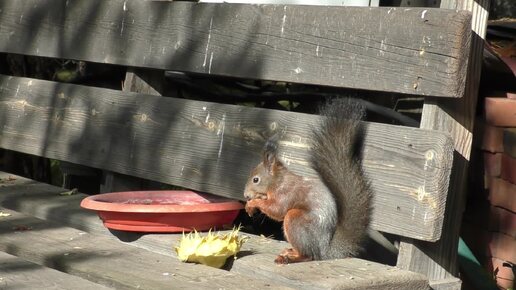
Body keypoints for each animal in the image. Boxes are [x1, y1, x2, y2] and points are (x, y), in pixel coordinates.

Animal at [244, 98, 372, 264]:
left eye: (256, 179)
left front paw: (253, 203)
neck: (278, 181)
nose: (246, 195)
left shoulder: (286, 193)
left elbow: (277, 210)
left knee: (309, 255)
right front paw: (251, 204)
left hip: (296, 219)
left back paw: (291, 258)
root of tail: (325, 250)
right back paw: (290, 251)